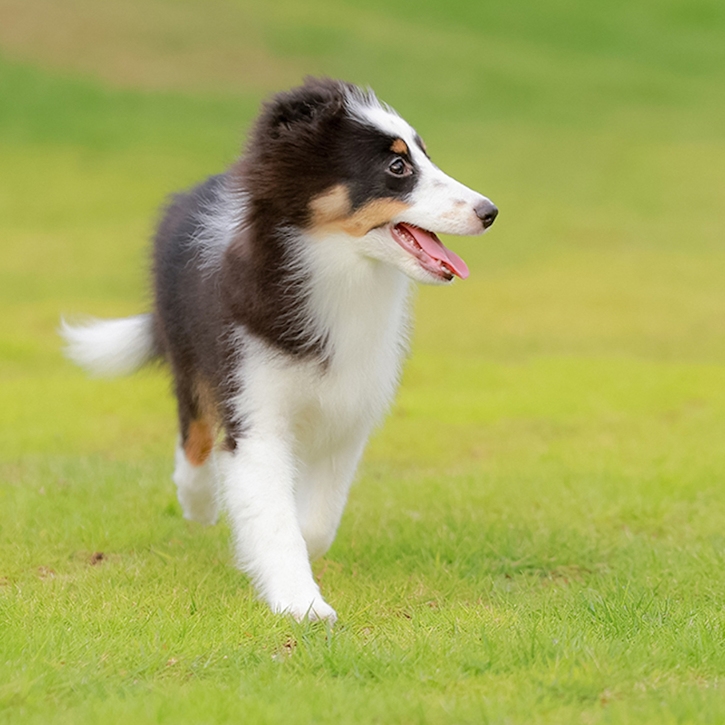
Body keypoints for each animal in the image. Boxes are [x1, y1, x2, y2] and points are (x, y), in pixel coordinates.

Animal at [62, 79, 494, 624]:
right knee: (194, 429)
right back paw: (199, 502)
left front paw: (292, 568)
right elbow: (270, 509)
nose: (490, 212)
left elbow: (314, 519)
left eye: (424, 156)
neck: (335, 271)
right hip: (189, 346)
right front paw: (302, 605)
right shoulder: (253, 402)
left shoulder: (348, 408)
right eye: (398, 166)